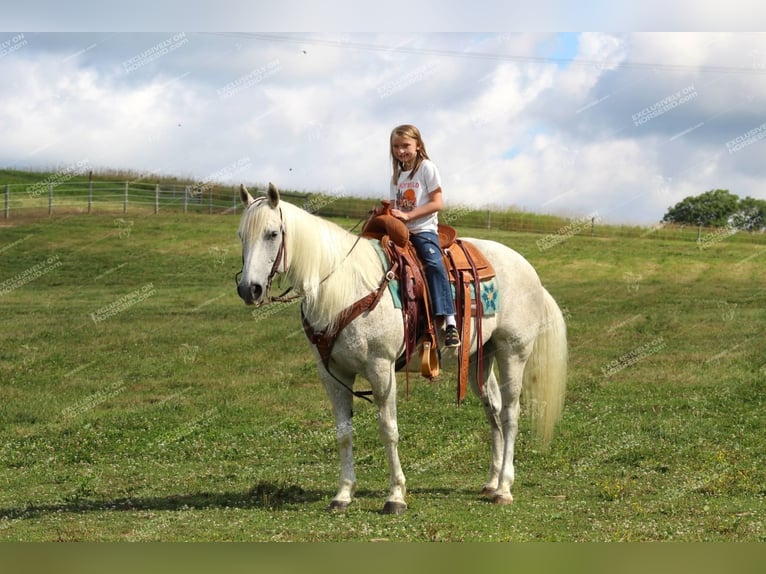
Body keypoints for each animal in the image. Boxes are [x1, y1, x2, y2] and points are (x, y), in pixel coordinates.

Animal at [237, 186, 568, 516]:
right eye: (241, 235)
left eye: (272, 233)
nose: (248, 289)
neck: (347, 288)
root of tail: (530, 272)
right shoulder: (332, 374)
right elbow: (343, 433)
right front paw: (343, 493)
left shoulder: (381, 369)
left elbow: (389, 429)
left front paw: (395, 496)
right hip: (480, 359)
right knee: (494, 411)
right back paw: (491, 482)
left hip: (513, 352)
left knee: (511, 413)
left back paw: (504, 488)